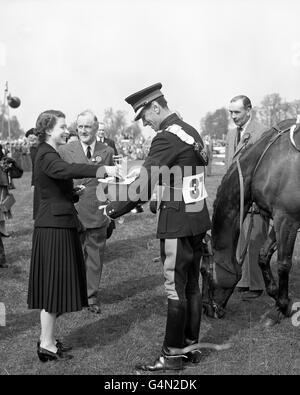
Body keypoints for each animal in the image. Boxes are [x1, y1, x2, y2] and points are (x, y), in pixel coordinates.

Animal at [202, 118, 300, 328]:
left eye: (204, 272)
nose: (207, 309)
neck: (267, 162)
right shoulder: (278, 219)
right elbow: (262, 256)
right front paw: (278, 300)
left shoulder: (287, 220)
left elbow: (283, 264)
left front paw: (282, 305)